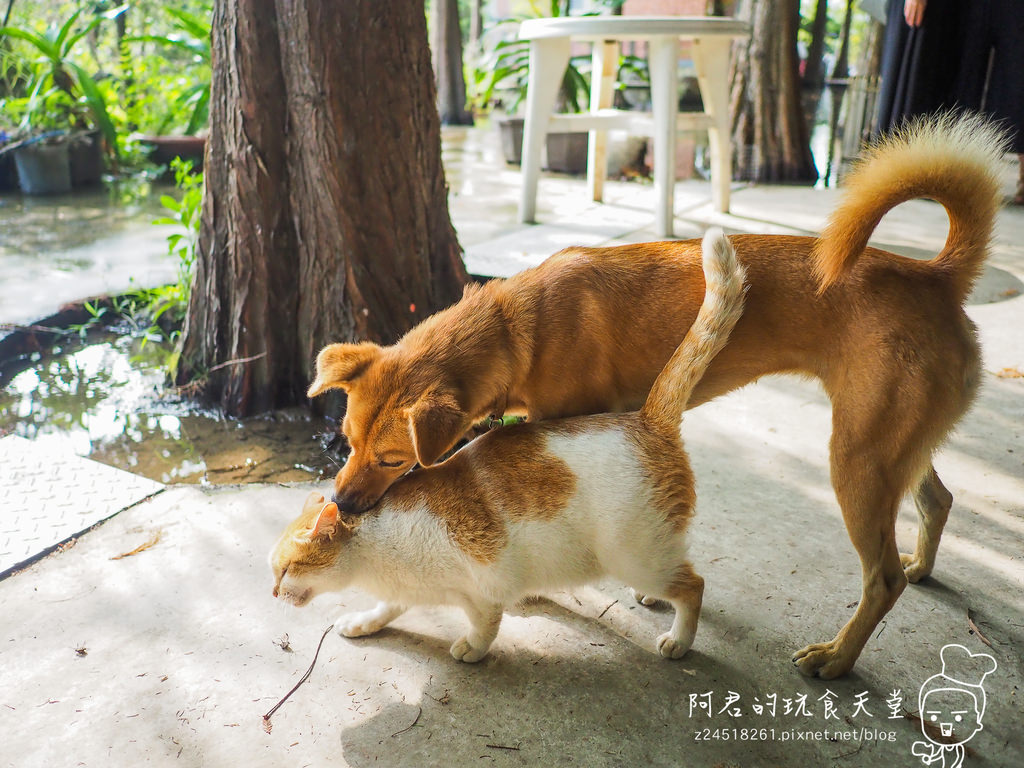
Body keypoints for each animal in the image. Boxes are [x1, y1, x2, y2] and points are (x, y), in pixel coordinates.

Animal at [268, 227, 745, 663]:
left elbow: (486, 621)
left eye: (286, 569)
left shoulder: (486, 582)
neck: (372, 551)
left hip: (635, 555)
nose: (272, 593)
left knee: (693, 585)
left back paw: (679, 640)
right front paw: (363, 621)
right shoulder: (406, 588)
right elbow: (389, 607)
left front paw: (472, 648)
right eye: (347, 444)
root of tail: (647, 420)